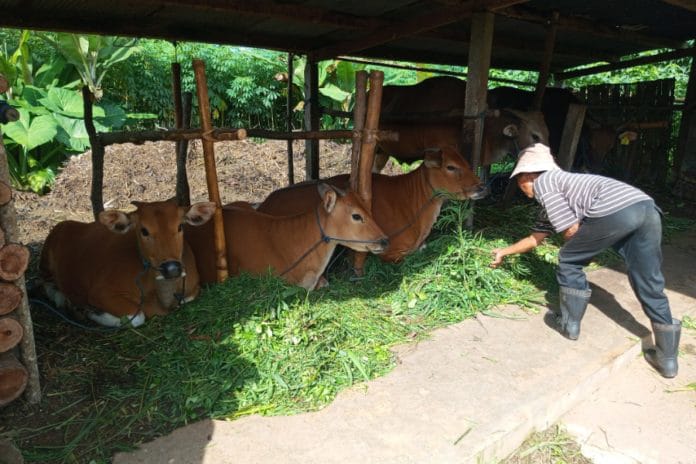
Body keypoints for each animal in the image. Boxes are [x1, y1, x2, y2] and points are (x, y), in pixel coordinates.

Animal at [40, 199, 215, 326]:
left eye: (180, 226)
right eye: (144, 230)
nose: (171, 268)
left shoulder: (193, 289)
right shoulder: (100, 293)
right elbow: (136, 317)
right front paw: (91, 312)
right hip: (46, 259)